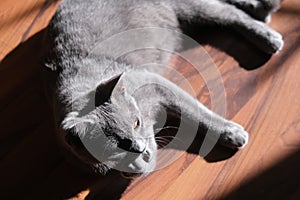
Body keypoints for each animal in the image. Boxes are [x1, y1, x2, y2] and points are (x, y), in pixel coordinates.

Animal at [44, 0, 284, 175]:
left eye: (136, 122)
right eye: (115, 144)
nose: (139, 147)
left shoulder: (159, 85)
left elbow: (197, 112)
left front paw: (231, 133)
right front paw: (136, 164)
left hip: (188, 8)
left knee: (228, 12)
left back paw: (268, 37)